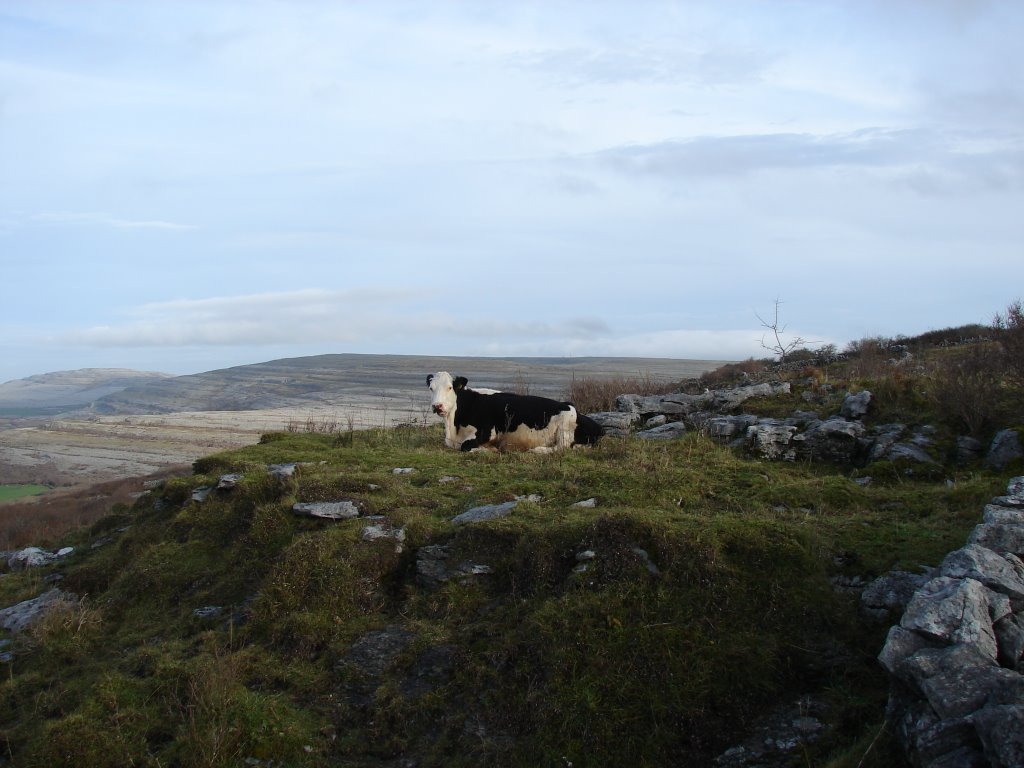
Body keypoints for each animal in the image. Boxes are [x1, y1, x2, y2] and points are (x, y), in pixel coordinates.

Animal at [425, 374, 602, 454]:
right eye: (431, 388)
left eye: (450, 387)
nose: (437, 406)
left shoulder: (487, 431)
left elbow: (465, 446)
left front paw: (490, 449)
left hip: (565, 427)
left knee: (561, 448)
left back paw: (537, 450)